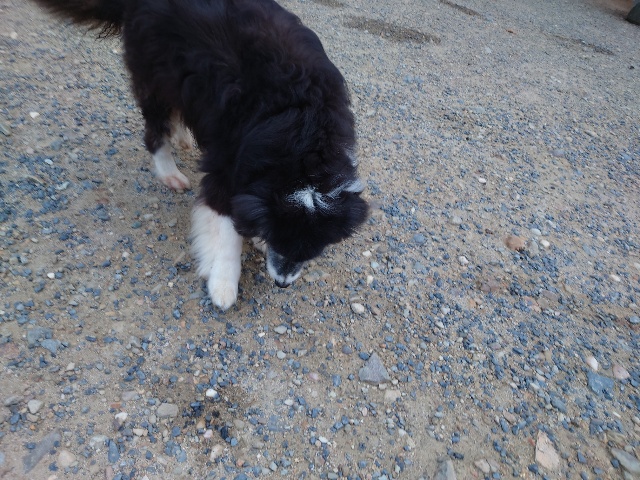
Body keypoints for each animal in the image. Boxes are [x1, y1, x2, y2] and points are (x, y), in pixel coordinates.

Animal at [31, 0, 369, 309]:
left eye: (313, 249)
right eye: (282, 242)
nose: (282, 284)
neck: (305, 146)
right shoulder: (226, 167)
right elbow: (225, 230)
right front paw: (223, 284)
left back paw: (181, 138)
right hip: (155, 75)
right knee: (155, 131)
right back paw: (170, 172)